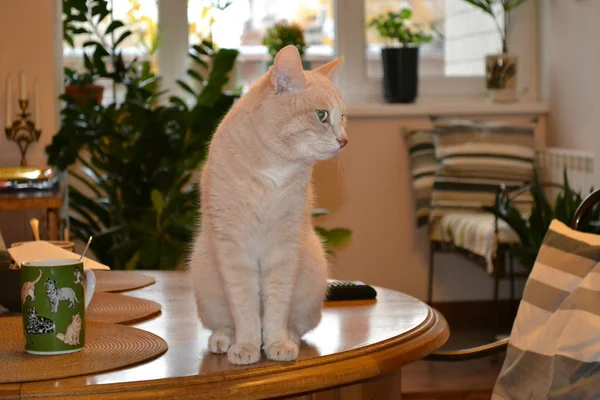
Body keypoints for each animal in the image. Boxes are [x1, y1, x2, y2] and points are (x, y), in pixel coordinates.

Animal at [188, 44, 346, 366]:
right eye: (322, 115)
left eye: (343, 117)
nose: (343, 140)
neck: (273, 169)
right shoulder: (234, 250)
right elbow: (245, 309)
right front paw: (247, 346)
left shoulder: (284, 249)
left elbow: (275, 307)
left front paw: (276, 344)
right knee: (224, 323)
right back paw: (223, 340)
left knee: (296, 324)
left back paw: (290, 338)